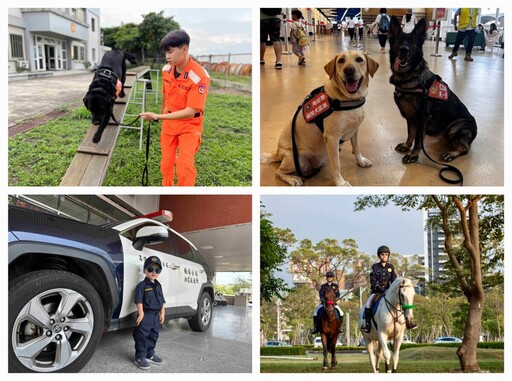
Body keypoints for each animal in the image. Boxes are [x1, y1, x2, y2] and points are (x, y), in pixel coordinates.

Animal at [390, 16, 478, 163]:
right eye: (399, 41)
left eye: (413, 43)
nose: (404, 49)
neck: (409, 77)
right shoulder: (411, 118)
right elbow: (410, 134)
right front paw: (407, 146)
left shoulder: (421, 119)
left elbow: (418, 139)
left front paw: (413, 155)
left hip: (457, 127)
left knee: (465, 149)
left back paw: (451, 154)